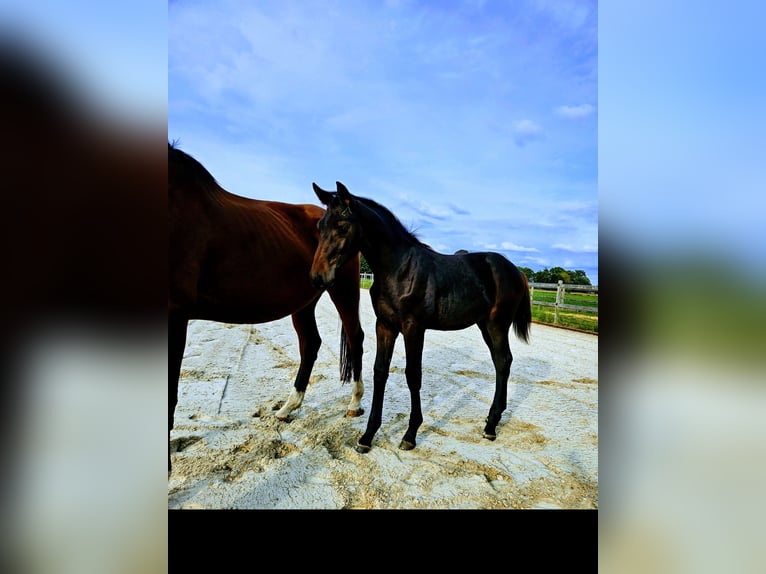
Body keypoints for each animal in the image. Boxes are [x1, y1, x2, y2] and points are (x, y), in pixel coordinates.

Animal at [168, 144, 365, 471]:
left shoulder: (175, 314)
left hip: (344, 290)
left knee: (355, 338)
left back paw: (355, 404)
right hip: (305, 301)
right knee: (311, 343)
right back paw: (287, 407)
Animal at [309, 181, 531, 453]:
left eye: (342, 225)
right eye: (320, 226)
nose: (317, 277)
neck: (399, 269)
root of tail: (516, 271)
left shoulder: (413, 328)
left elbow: (413, 375)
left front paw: (410, 434)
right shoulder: (385, 326)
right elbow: (380, 372)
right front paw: (367, 436)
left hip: (497, 324)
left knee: (503, 361)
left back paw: (491, 426)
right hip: (484, 325)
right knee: (502, 362)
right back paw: (491, 421)